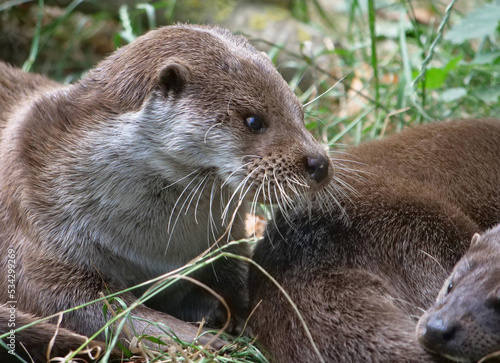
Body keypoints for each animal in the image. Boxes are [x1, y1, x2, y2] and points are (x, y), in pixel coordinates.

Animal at [0, 23, 332, 362]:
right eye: (254, 120)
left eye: (300, 113)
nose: (320, 163)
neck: (155, 252)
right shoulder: (37, 225)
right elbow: (87, 309)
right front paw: (199, 340)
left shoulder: (223, 246)